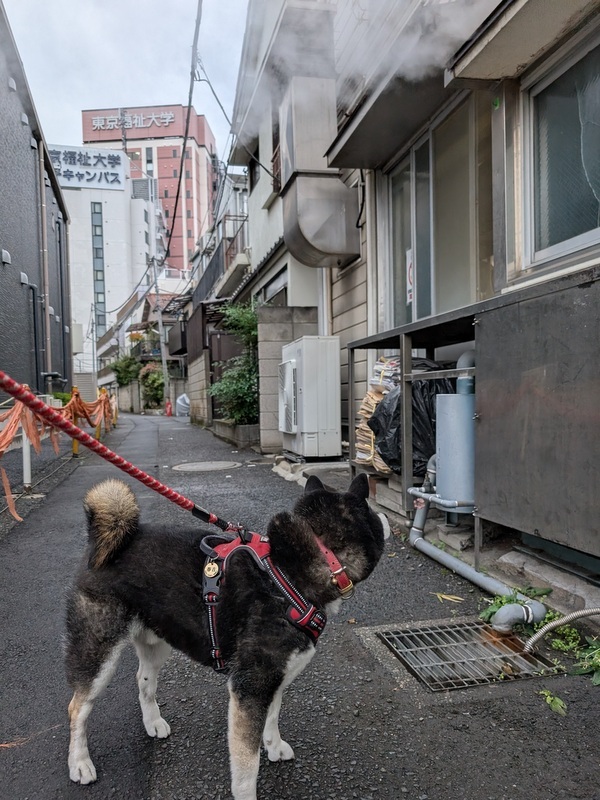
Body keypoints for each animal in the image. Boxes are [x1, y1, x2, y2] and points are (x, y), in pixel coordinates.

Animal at [65, 472, 389, 800]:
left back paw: (153, 722)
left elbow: (272, 716)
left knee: (143, 680)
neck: (287, 575)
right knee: (78, 707)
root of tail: (105, 542)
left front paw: (273, 745)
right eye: (373, 512)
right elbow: (247, 764)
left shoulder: (271, 678)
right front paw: (248, 790)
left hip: (158, 642)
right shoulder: (250, 686)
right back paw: (79, 763)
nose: (386, 516)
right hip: (98, 653)